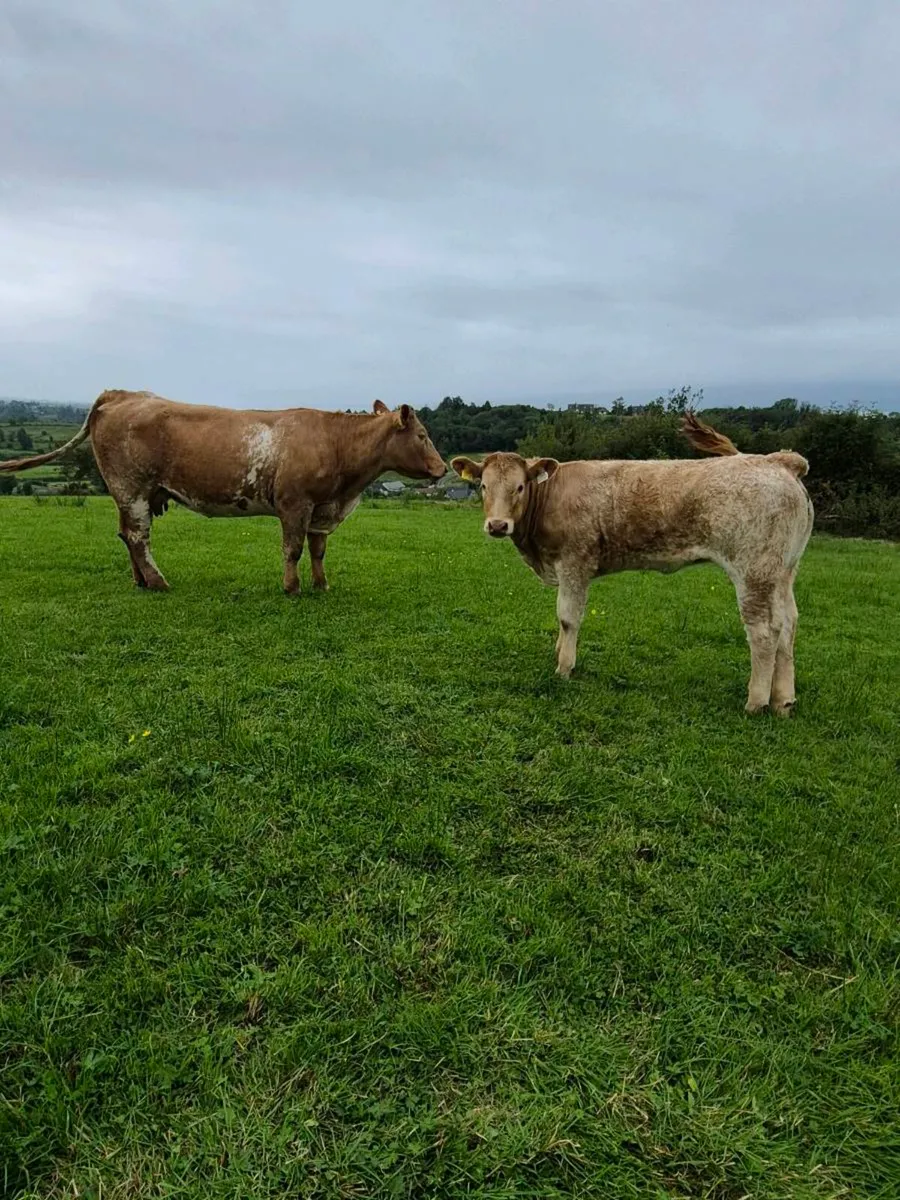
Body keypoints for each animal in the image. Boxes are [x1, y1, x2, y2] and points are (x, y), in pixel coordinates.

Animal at [0, 390, 447, 593]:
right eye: (423, 435)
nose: (443, 469)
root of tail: (124, 394)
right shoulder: (294, 504)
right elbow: (293, 549)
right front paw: (292, 588)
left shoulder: (321, 509)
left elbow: (318, 550)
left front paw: (321, 585)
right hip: (132, 488)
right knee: (138, 536)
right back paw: (158, 582)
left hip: (128, 494)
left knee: (126, 535)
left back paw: (142, 581)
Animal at [451, 414, 814, 716]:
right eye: (483, 485)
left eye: (520, 486)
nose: (498, 525)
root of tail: (777, 460)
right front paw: (559, 653)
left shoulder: (574, 564)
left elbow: (568, 618)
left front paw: (564, 668)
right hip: (783, 573)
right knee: (788, 625)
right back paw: (783, 701)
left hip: (754, 572)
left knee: (765, 631)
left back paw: (756, 702)